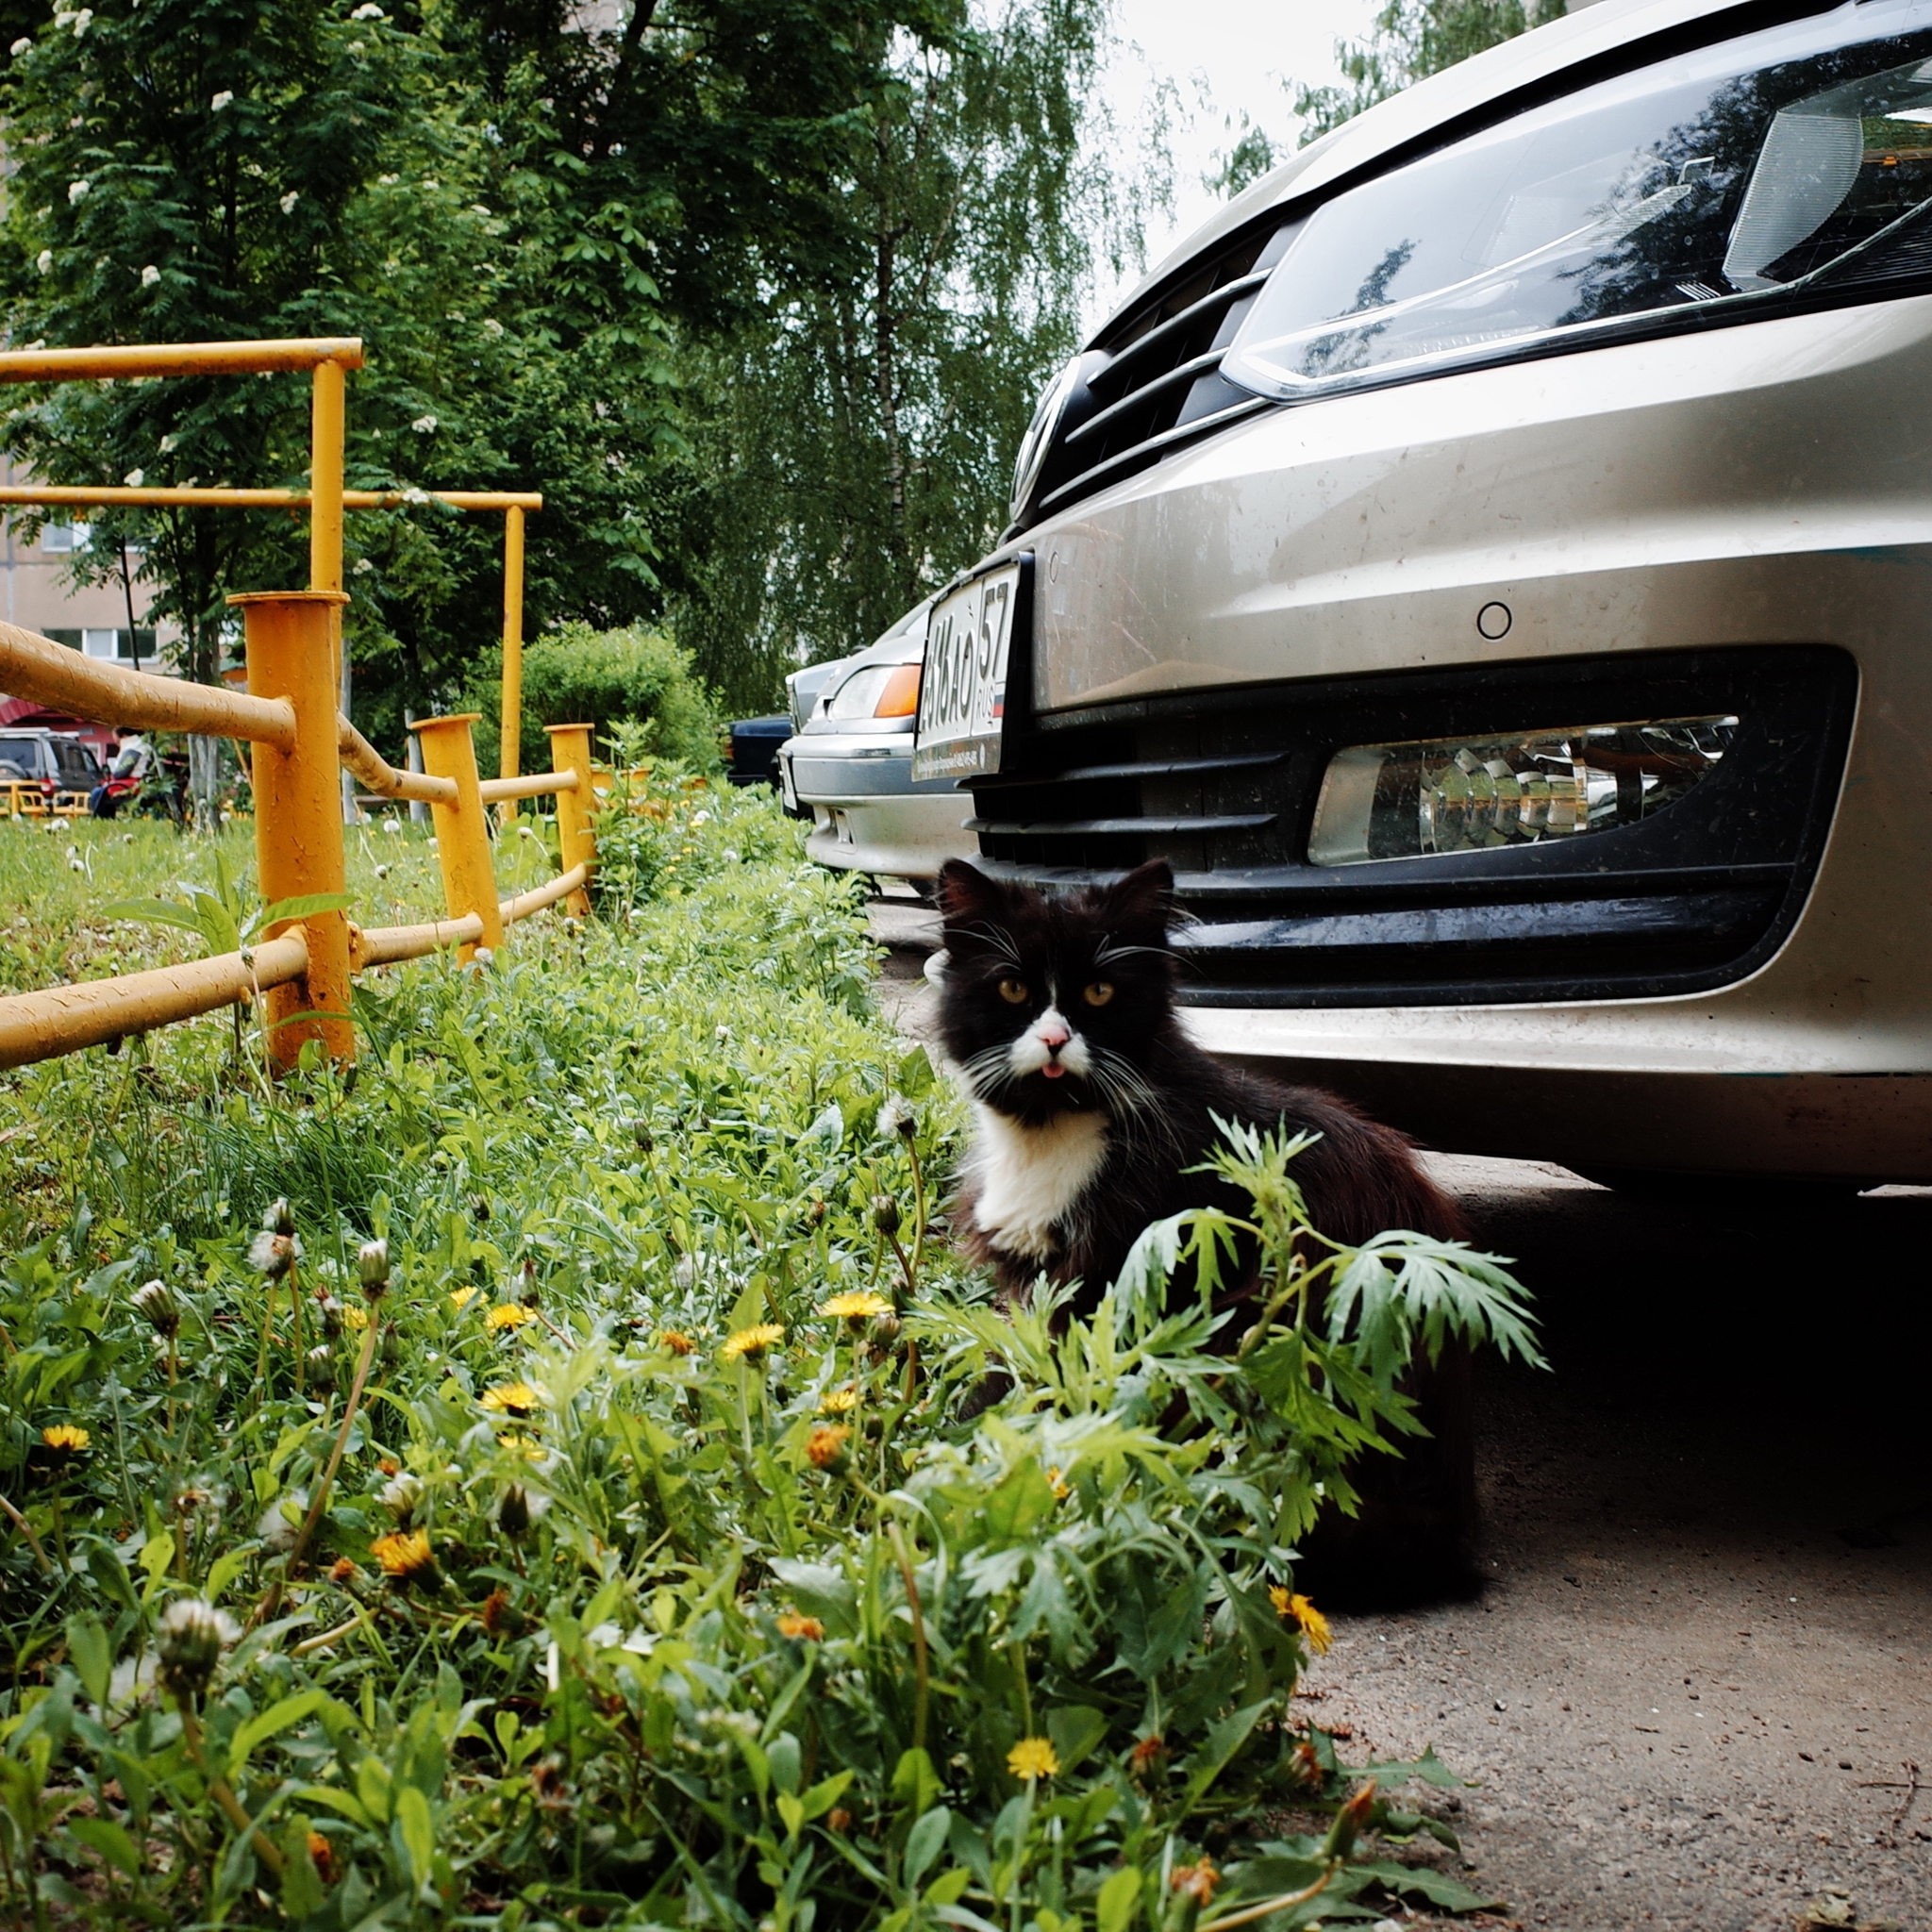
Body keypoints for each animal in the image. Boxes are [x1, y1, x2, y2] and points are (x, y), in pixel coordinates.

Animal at [935, 858, 1475, 1599]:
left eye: (1100, 991)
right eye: (1012, 987)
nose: (1053, 1039)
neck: (1053, 1133)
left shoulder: (1114, 1278)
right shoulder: (1036, 1285)